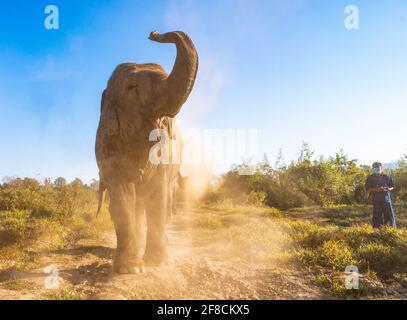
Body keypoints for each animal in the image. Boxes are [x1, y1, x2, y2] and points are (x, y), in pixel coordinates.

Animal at [95, 31, 198, 274]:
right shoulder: (105, 141)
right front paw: (130, 269)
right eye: (132, 87)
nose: (153, 34)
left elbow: (157, 197)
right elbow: (121, 194)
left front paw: (158, 263)